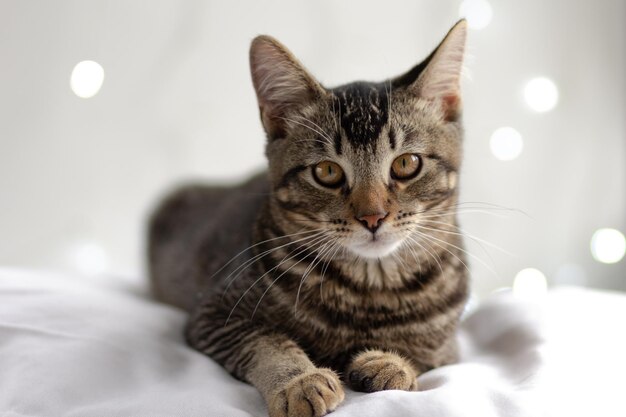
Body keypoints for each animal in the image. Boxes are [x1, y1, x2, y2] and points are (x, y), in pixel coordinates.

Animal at [149, 20, 466, 417]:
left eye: (407, 164)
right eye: (327, 171)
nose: (373, 216)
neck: (369, 292)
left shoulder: (450, 346)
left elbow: (426, 352)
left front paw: (391, 363)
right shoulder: (212, 314)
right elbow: (265, 341)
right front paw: (299, 381)